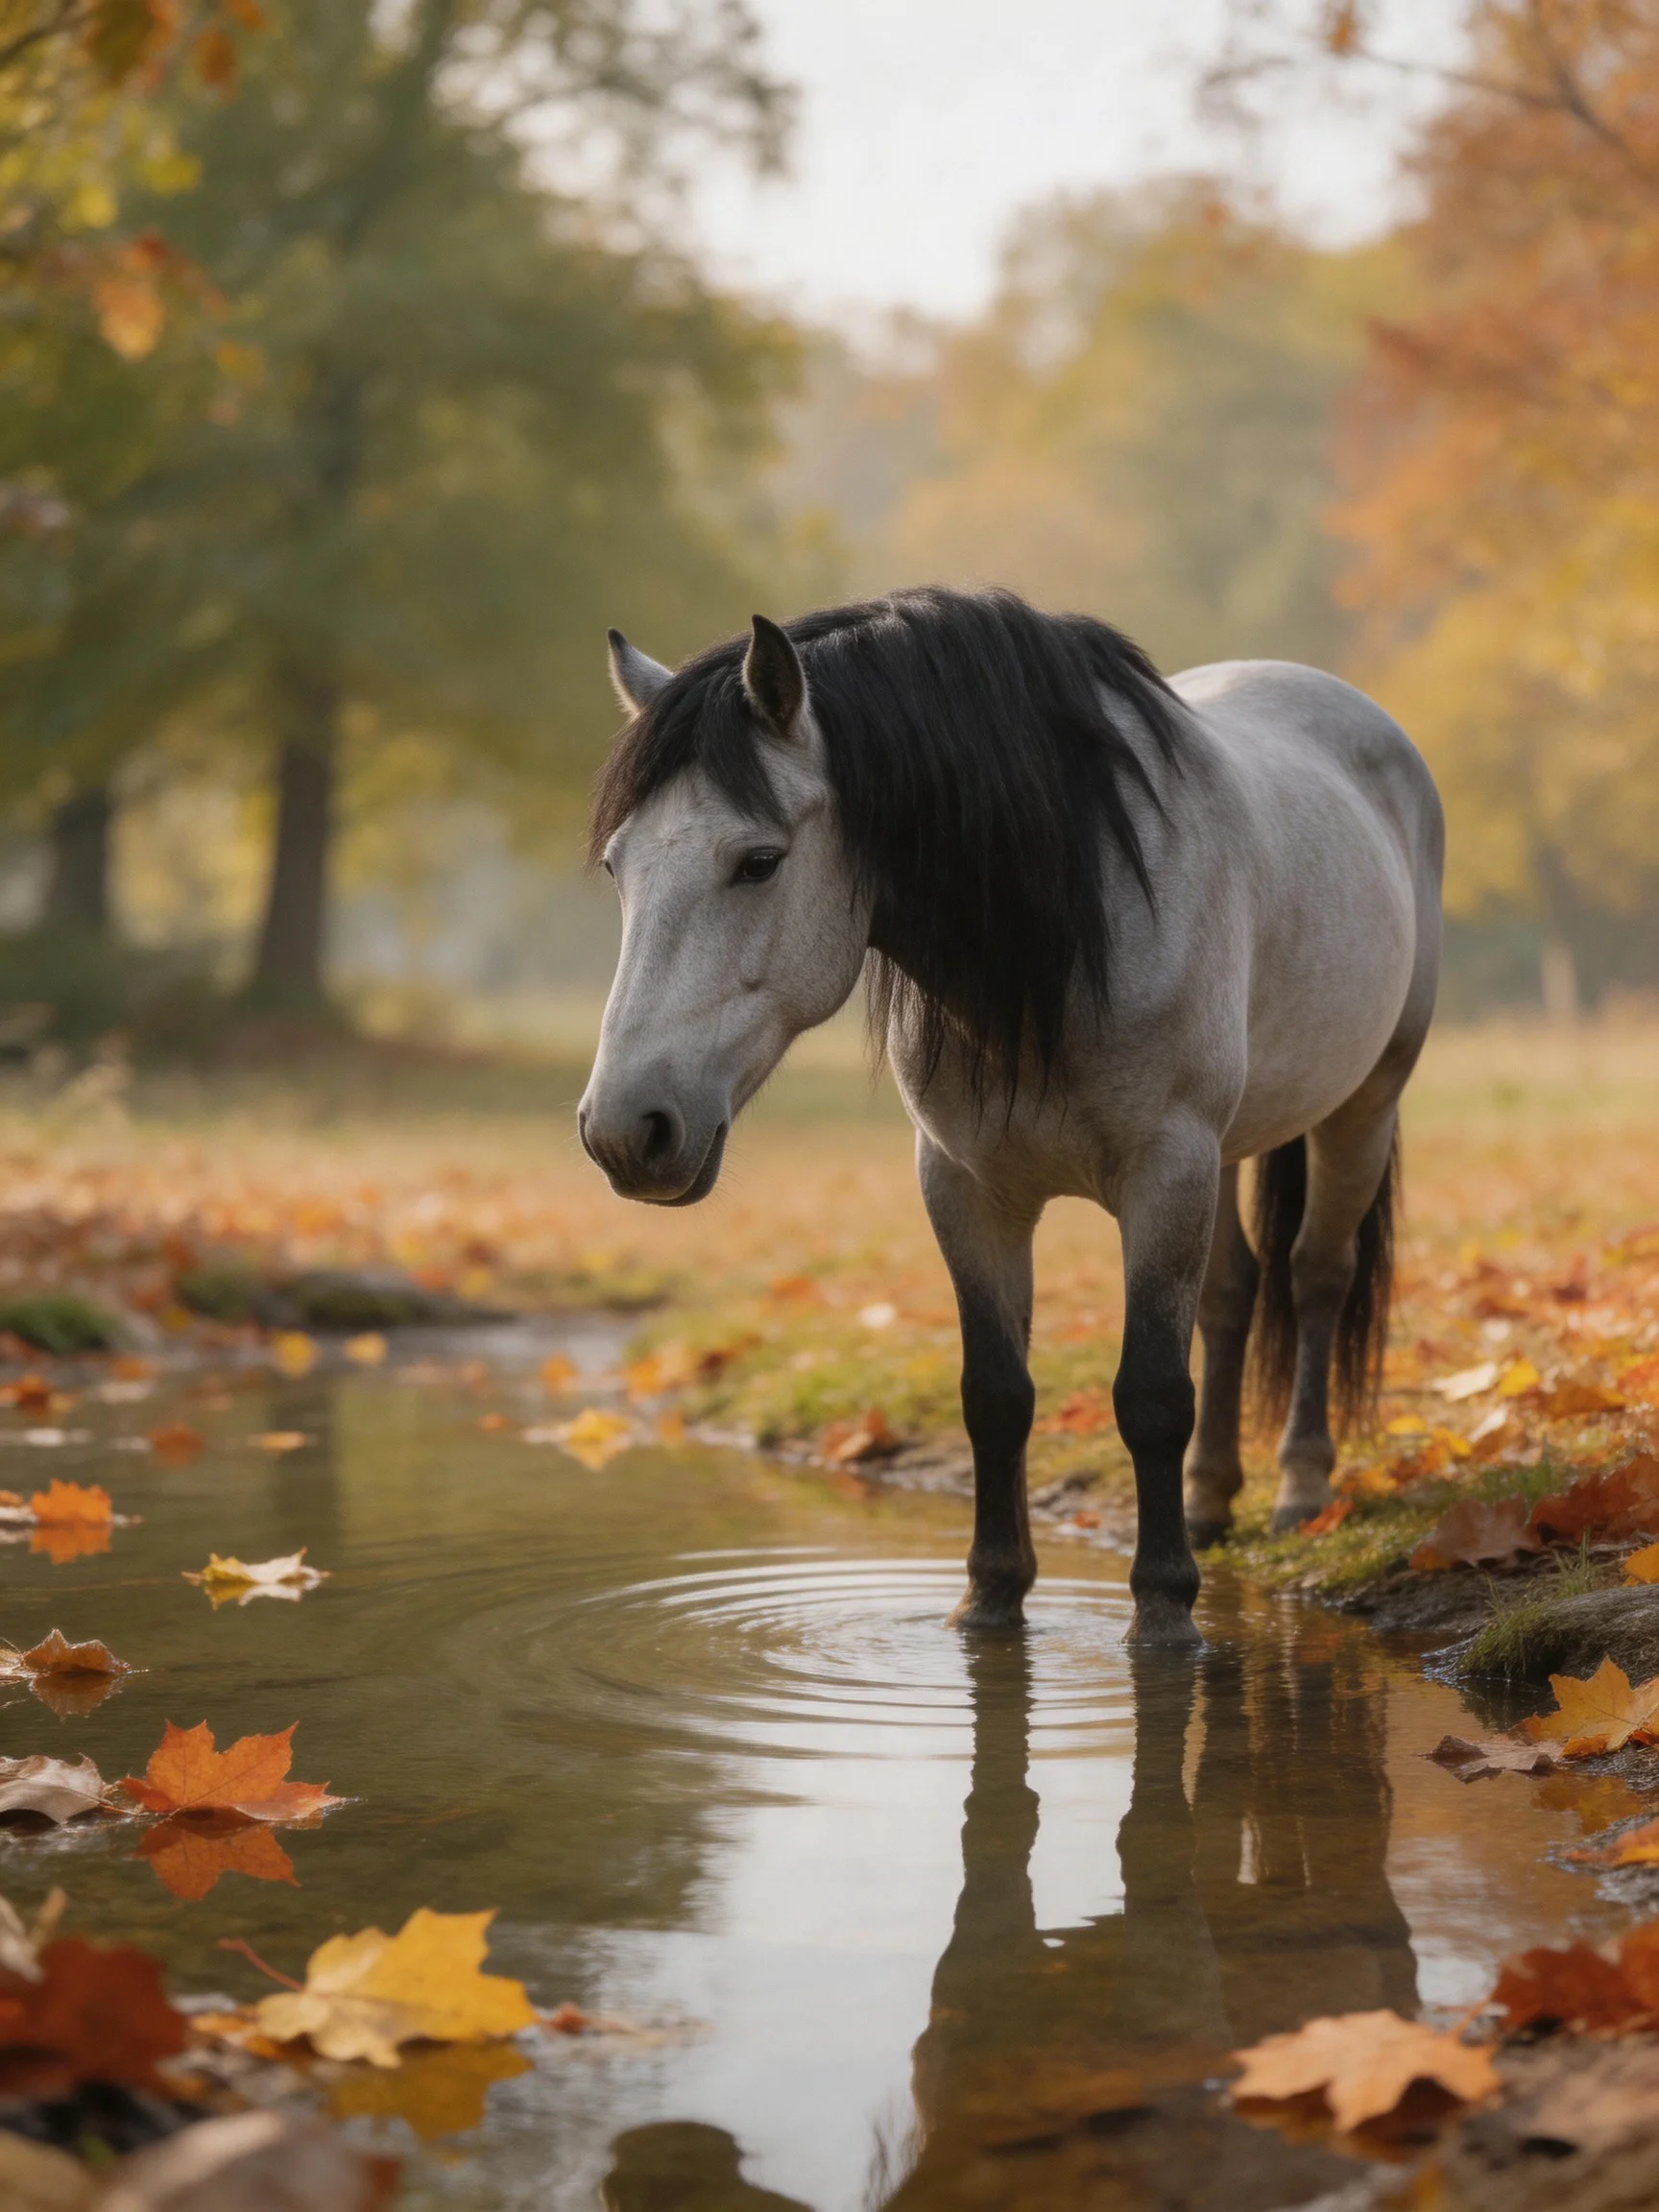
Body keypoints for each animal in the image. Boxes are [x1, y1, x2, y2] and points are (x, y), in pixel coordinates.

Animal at [578, 588, 1443, 1646]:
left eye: (758, 861)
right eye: (617, 867)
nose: (627, 1131)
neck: (1070, 926)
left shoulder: (1165, 1170)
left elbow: (1151, 1394)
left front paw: (1164, 1609)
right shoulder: (965, 1188)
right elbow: (996, 1395)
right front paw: (989, 1600)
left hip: (1362, 1104)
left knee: (1317, 1276)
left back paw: (1299, 1490)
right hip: (1232, 1146)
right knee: (1235, 1292)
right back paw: (1209, 1501)